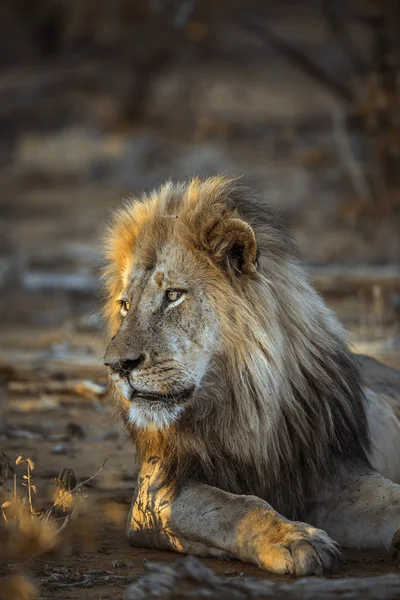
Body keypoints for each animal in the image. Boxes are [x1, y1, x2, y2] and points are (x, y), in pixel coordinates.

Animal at [101, 176, 400, 576]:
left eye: (174, 295)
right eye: (125, 305)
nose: (116, 365)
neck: (242, 405)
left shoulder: (330, 472)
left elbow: (390, 496)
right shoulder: (155, 494)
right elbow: (238, 506)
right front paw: (297, 539)